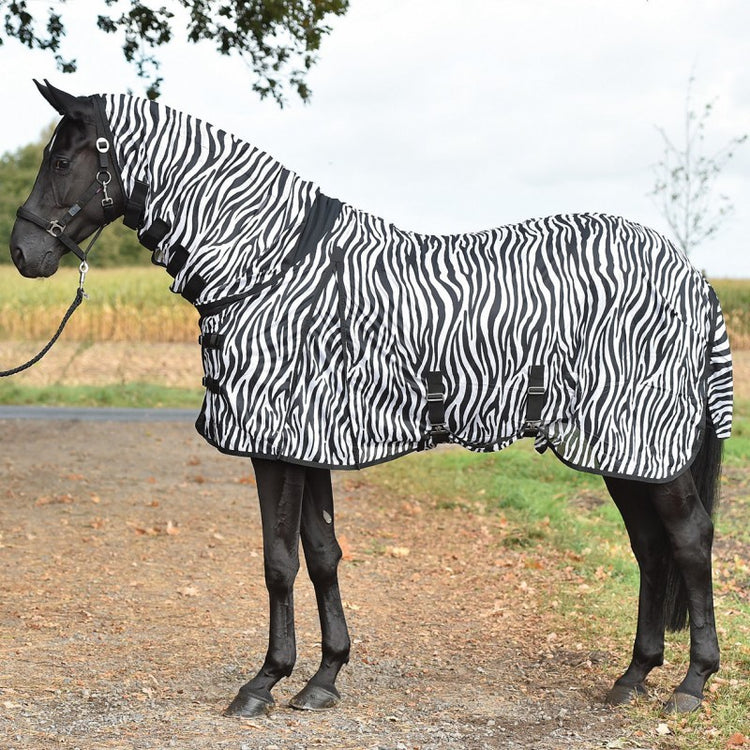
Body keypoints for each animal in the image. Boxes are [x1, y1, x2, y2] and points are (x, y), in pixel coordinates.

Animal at [10, 81, 732, 717]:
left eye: (64, 158)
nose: (23, 252)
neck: (268, 266)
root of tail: (693, 274)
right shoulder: (307, 444)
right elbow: (323, 554)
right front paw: (323, 677)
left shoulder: (275, 444)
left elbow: (279, 562)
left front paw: (263, 683)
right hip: (622, 452)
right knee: (650, 547)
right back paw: (633, 676)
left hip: (645, 444)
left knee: (690, 539)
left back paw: (692, 683)